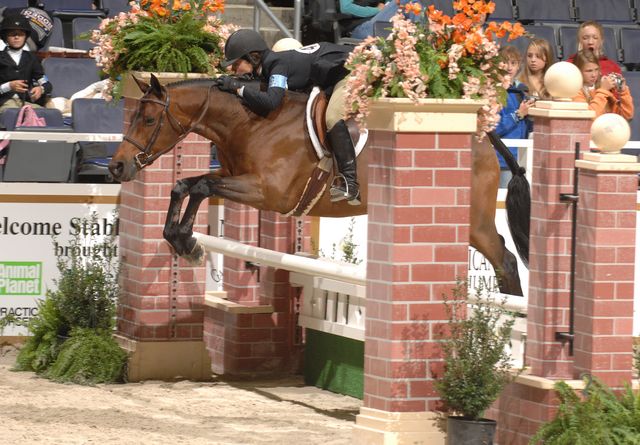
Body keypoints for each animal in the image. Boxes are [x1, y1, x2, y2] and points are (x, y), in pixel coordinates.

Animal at [110, 74, 528, 296]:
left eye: (149, 120)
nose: (117, 167)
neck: (251, 122)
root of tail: (482, 135)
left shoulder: (269, 193)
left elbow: (199, 188)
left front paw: (188, 244)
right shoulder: (235, 177)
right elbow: (185, 185)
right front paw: (180, 240)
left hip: (472, 221)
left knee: (505, 259)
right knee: (501, 258)